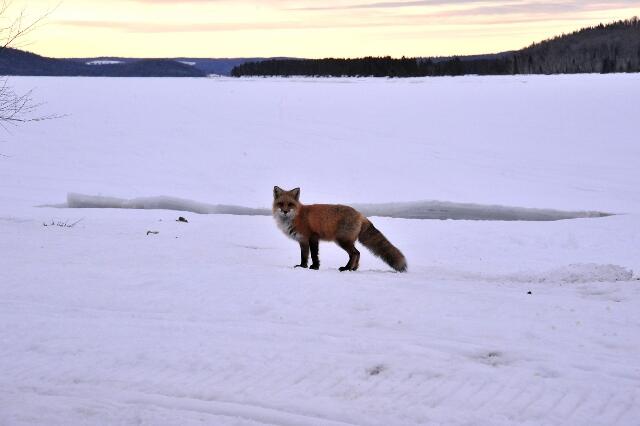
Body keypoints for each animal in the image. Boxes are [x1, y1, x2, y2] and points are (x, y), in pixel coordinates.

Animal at [272, 186, 408, 272]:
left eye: (290, 204)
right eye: (281, 204)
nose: (284, 211)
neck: (297, 216)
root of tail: (360, 214)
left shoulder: (313, 237)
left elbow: (314, 255)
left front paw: (315, 267)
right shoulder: (302, 241)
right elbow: (304, 256)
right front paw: (302, 266)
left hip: (342, 241)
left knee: (355, 253)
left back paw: (346, 268)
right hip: (346, 241)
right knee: (358, 253)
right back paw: (353, 269)